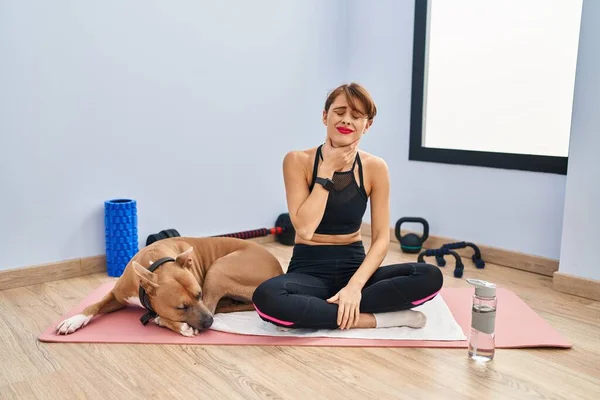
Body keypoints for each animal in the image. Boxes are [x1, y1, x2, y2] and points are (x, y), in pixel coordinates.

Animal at [54, 236, 284, 336]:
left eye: (199, 294)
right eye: (181, 307)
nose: (209, 323)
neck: (155, 263)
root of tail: (278, 270)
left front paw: (173, 323)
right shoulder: (117, 295)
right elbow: (93, 305)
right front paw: (73, 321)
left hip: (217, 269)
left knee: (212, 306)